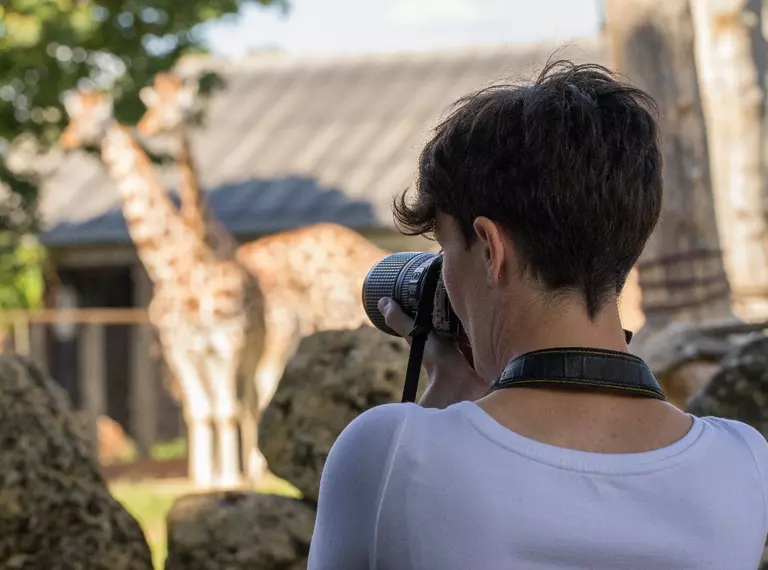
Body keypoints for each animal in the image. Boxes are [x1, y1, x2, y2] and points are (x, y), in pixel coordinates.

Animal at [57, 86, 268, 486]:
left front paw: (226, 480)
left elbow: (223, 409)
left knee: (247, 403)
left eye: (93, 117)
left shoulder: (225, 341)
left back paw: (250, 471)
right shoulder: (180, 347)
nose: (67, 138)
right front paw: (204, 479)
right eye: (74, 116)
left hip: (251, 347)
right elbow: (201, 411)